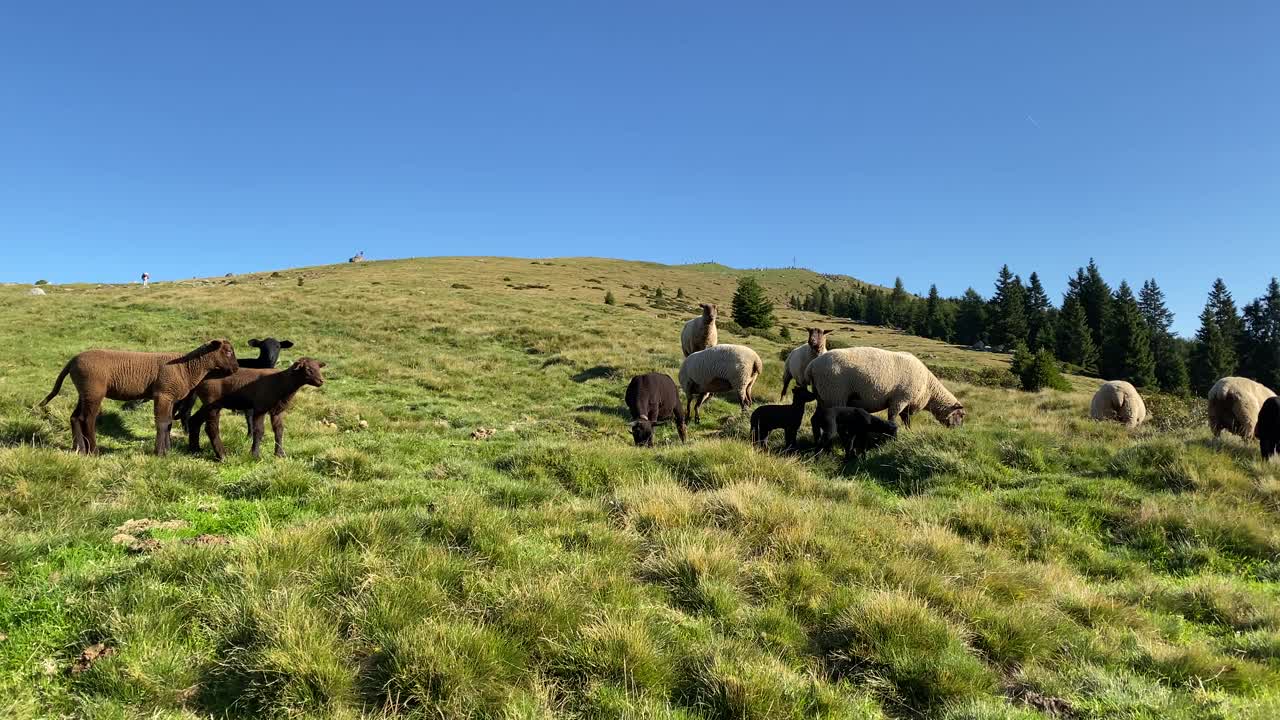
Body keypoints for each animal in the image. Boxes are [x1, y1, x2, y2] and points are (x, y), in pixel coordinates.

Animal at [39, 340, 238, 453]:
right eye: (228, 351)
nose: (236, 369)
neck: (187, 367)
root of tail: (72, 361)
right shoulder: (163, 394)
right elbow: (162, 423)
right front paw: (160, 452)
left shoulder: (170, 397)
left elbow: (168, 423)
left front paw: (167, 450)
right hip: (94, 390)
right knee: (87, 419)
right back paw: (93, 451)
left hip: (84, 391)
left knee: (74, 417)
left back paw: (79, 449)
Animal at [186, 353, 327, 458]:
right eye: (308, 369)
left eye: (318, 368)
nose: (321, 381)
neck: (282, 382)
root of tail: (201, 378)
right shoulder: (260, 407)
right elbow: (258, 431)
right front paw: (255, 455)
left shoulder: (277, 410)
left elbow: (279, 430)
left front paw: (280, 454)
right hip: (212, 403)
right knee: (211, 428)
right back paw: (222, 455)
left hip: (209, 404)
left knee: (194, 421)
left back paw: (195, 450)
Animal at [803, 345, 962, 425]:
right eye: (961, 415)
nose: (956, 430)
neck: (929, 390)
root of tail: (811, 366)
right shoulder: (900, 399)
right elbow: (893, 417)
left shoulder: (906, 403)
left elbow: (906, 420)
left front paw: (908, 431)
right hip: (834, 393)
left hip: (822, 395)